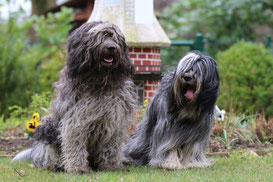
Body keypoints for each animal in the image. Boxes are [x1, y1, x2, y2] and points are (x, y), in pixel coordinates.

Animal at [12, 20, 136, 173]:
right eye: (99, 37)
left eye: (114, 38)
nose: (112, 47)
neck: (99, 82)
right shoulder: (75, 120)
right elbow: (75, 144)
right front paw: (78, 168)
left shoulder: (114, 121)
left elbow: (110, 147)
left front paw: (111, 166)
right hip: (47, 129)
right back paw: (53, 164)